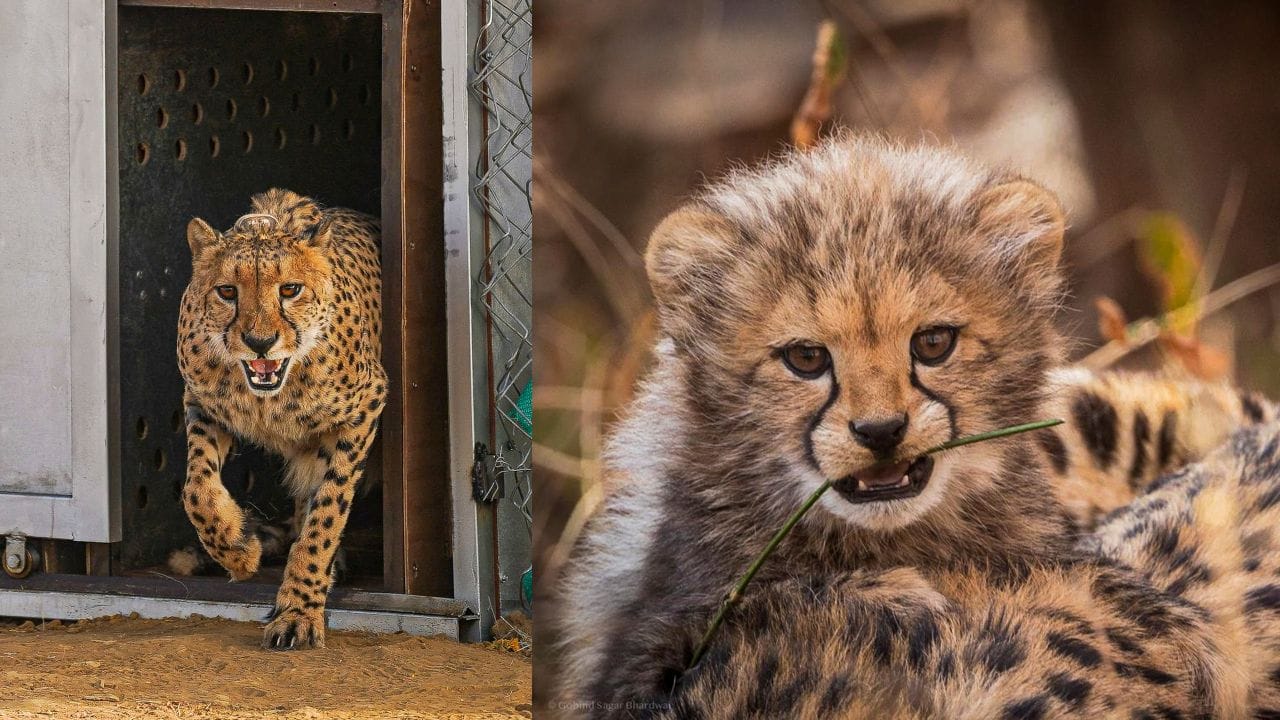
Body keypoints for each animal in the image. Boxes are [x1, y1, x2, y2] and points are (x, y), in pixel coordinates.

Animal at [176, 188, 385, 650]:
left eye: (290, 289)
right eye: (227, 291)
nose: (260, 341)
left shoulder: (364, 409)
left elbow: (326, 516)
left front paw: (299, 610)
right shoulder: (203, 404)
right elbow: (196, 489)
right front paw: (238, 549)